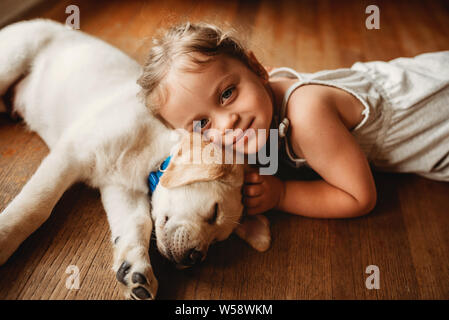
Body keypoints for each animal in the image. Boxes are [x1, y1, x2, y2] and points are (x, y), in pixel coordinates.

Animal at [0, 19, 270, 300]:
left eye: (218, 240)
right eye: (214, 212)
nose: (195, 258)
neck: (153, 151)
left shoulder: (120, 188)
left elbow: (139, 222)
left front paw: (135, 270)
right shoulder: (71, 153)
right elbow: (35, 207)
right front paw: (4, 239)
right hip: (9, 64)